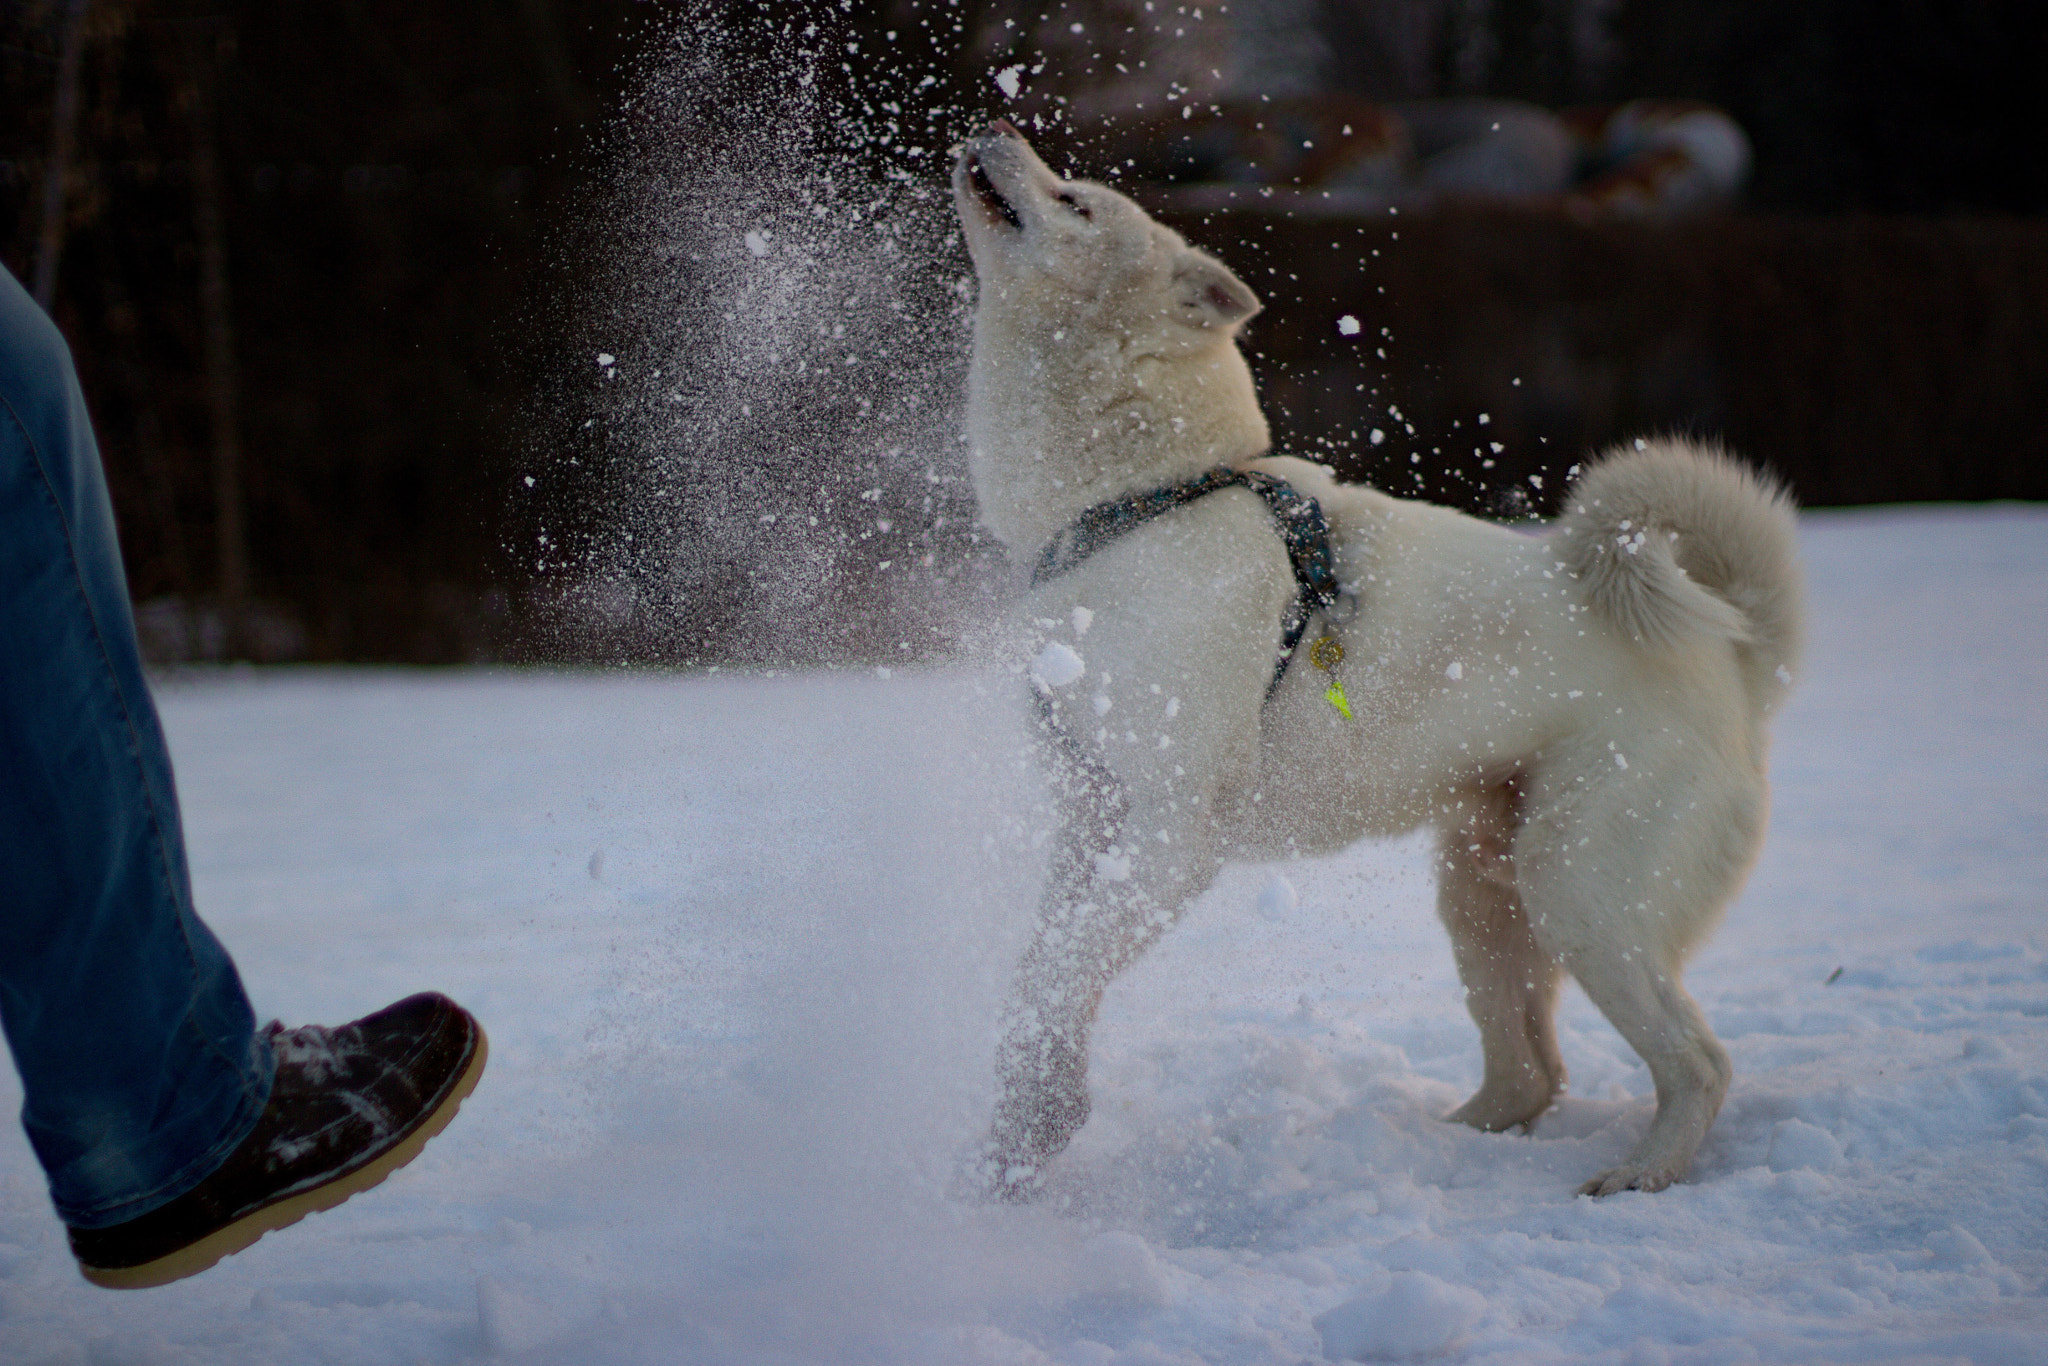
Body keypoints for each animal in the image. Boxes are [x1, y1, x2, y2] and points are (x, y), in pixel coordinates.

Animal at [950, 122, 1802, 1204]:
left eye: (1076, 202)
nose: (995, 128)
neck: (1142, 499)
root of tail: (1735, 664)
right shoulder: (1090, 821)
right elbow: (1047, 972)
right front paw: (1032, 1116)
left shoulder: (1169, 834)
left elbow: (1057, 974)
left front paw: (1034, 1120)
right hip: (1484, 898)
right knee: (1531, 1071)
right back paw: (1449, 1142)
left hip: (1584, 891)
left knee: (1697, 1062)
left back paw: (1638, 1176)